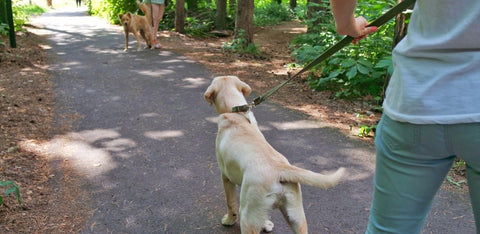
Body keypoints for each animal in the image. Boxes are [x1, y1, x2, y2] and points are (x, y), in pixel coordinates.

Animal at [202, 76, 344, 233]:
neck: (236, 114)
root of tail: (280, 169)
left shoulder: (225, 177)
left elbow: (230, 203)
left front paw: (228, 220)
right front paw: (266, 224)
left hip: (247, 215)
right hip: (296, 217)